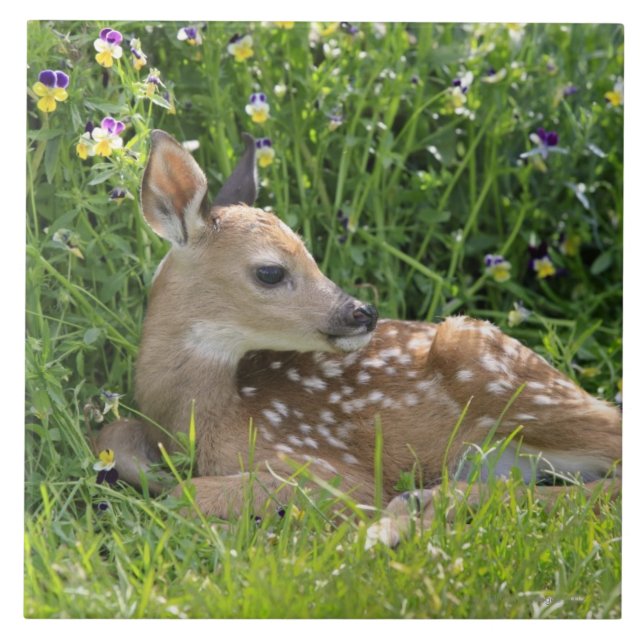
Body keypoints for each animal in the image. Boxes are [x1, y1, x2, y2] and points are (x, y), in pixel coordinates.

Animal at [95, 129, 621, 547]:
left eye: (310, 253)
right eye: (270, 271)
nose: (363, 312)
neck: (206, 420)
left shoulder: (333, 470)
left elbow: (184, 495)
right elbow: (118, 437)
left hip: (497, 368)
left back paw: (404, 515)